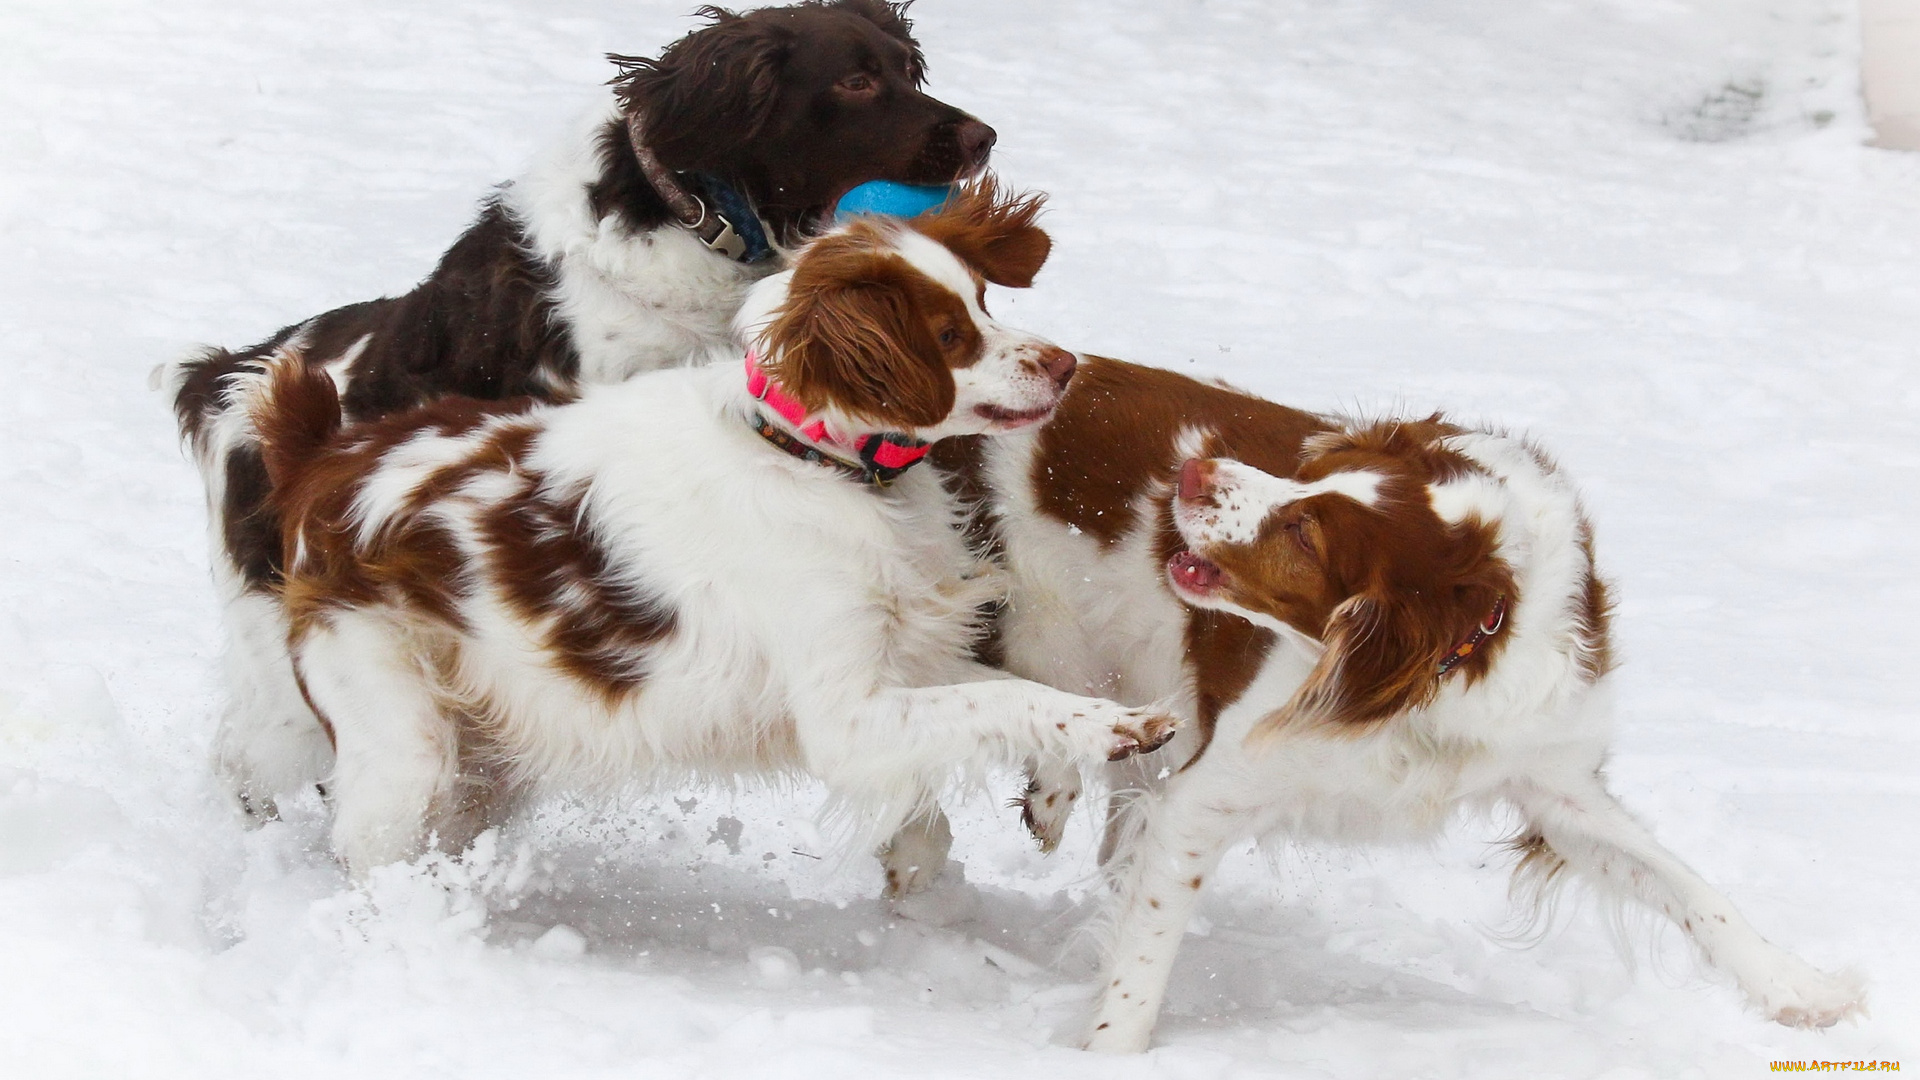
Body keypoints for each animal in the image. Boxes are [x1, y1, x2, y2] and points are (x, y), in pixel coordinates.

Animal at [167, 0, 998, 814]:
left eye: (908, 68)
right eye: (856, 82)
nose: (982, 138)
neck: (694, 228)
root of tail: (226, 379)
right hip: (289, 671)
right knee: (250, 756)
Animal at [232, 187, 1175, 883]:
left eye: (984, 300)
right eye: (948, 335)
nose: (1065, 366)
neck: (808, 457)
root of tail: (324, 458)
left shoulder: (903, 652)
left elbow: (1017, 688)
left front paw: (1064, 778)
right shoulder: (845, 712)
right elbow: (1008, 700)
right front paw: (1118, 729)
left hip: (483, 753)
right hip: (406, 744)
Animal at [952, 357, 1866, 1045]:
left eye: (1305, 531)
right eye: (1306, 474)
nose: (1193, 470)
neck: (1426, 683)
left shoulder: (1555, 780)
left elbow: (1688, 887)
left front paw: (1800, 988)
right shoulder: (1212, 794)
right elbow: (1143, 956)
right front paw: (1110, 1051)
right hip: (1040, 626)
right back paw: (1052, 792)